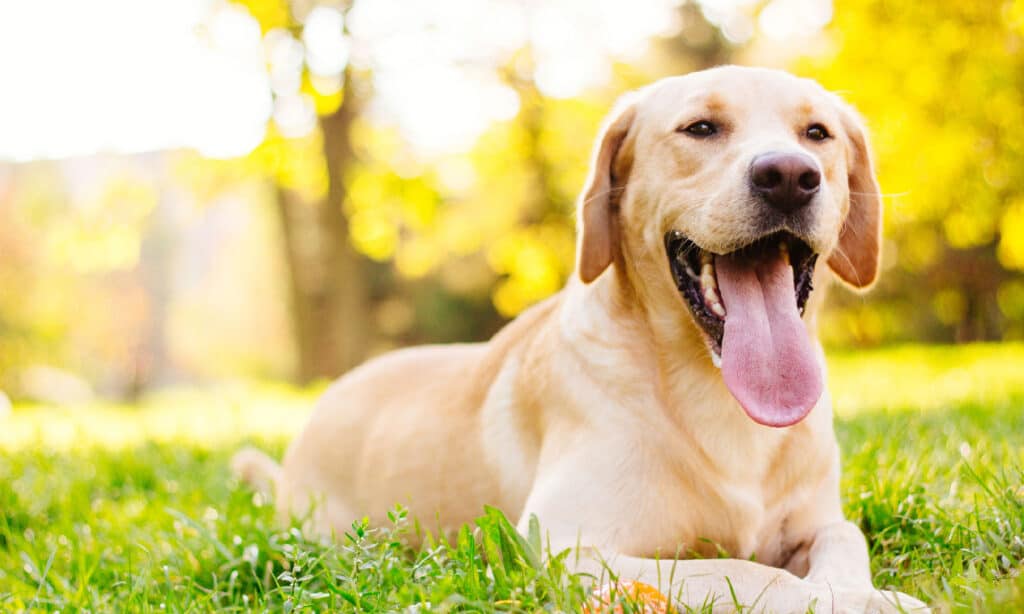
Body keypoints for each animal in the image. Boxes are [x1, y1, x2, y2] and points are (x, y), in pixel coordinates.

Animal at [235, 64, 933, 609]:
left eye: (817, 134)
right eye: (701, 128)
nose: (789, 175)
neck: (714, 390)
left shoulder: (817, 521)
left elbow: (845, 538)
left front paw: (859, 590)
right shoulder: (565, 545)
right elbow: (743, 571)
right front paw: (849, 599)